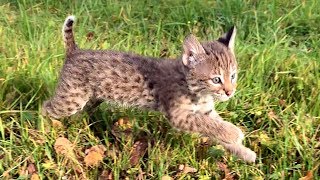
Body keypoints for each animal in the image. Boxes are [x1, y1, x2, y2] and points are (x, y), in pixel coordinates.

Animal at [42, 16, 256, 162]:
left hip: (90, 98)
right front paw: (235, 133)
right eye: (216, 79)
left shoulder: (205, 111)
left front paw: (243, 152)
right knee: (45, 107)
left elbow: (215, 126)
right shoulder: (179, 115)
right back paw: (44, 131)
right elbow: (209, 125)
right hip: (71, 98)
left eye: (233, 76)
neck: (198, 91)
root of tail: (76, 51)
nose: (230, 92)